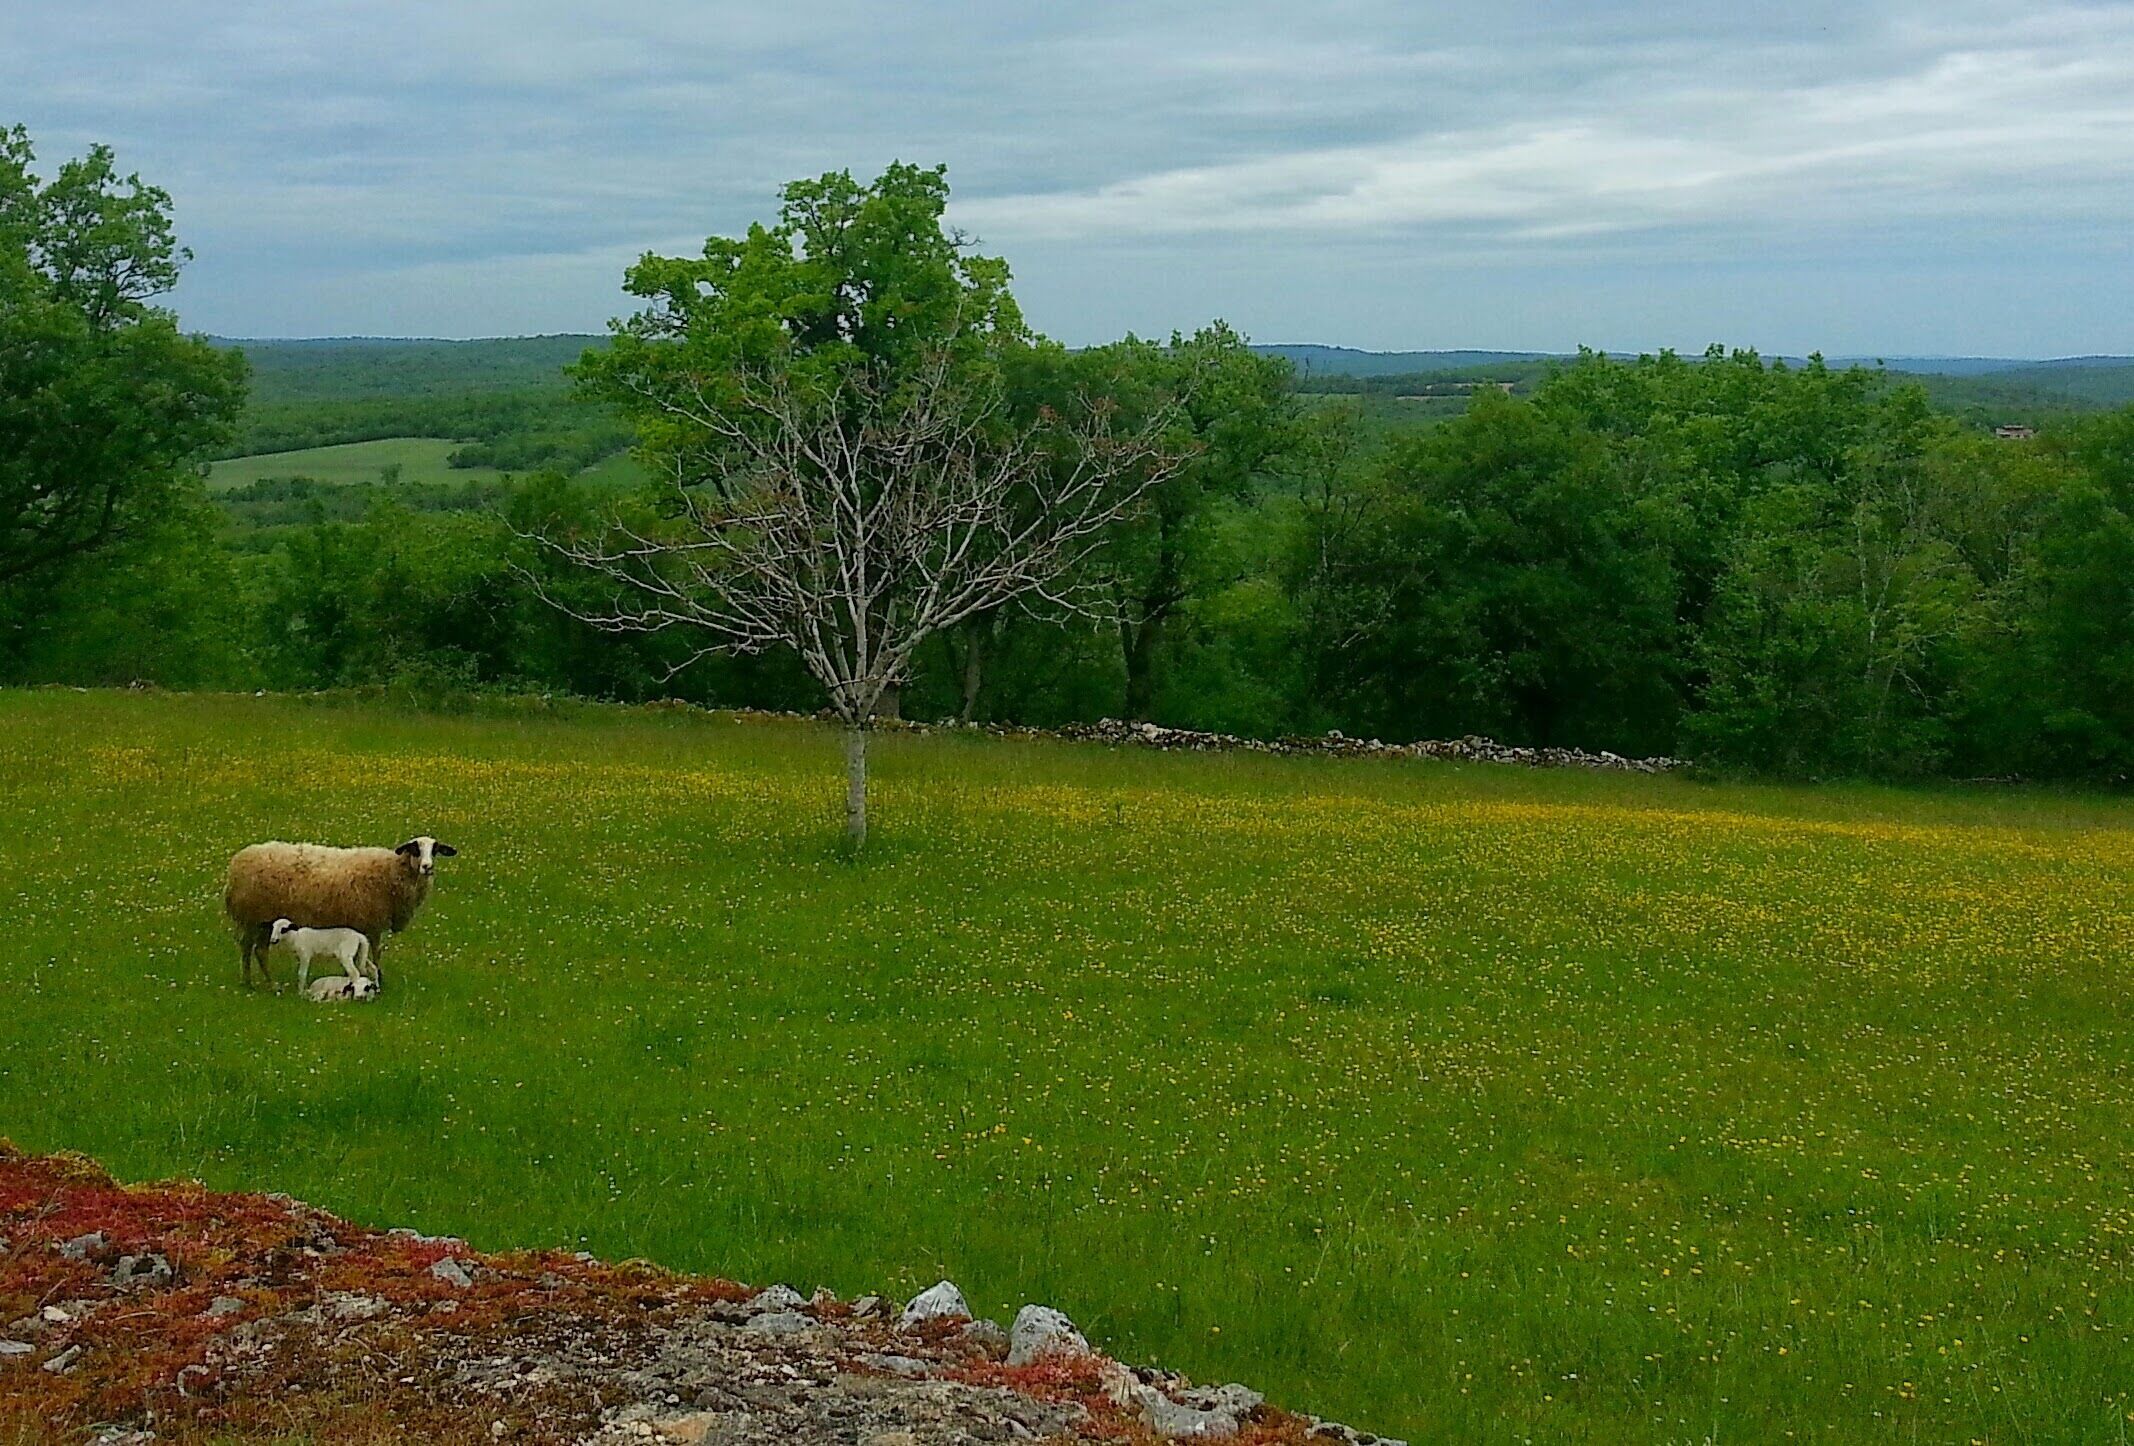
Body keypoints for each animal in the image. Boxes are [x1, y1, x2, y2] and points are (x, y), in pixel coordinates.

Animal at [225, 836, 457, 989]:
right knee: (249, 948)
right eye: (416, 849)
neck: (392, 870)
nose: (427, 867)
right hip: (253, 917)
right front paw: (378, 981)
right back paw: (251, 983)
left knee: (258, 950)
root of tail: (237, 862)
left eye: (435, 850)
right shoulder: (371, 924)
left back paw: (267, 983)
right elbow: (376, 954)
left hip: (264, 921)